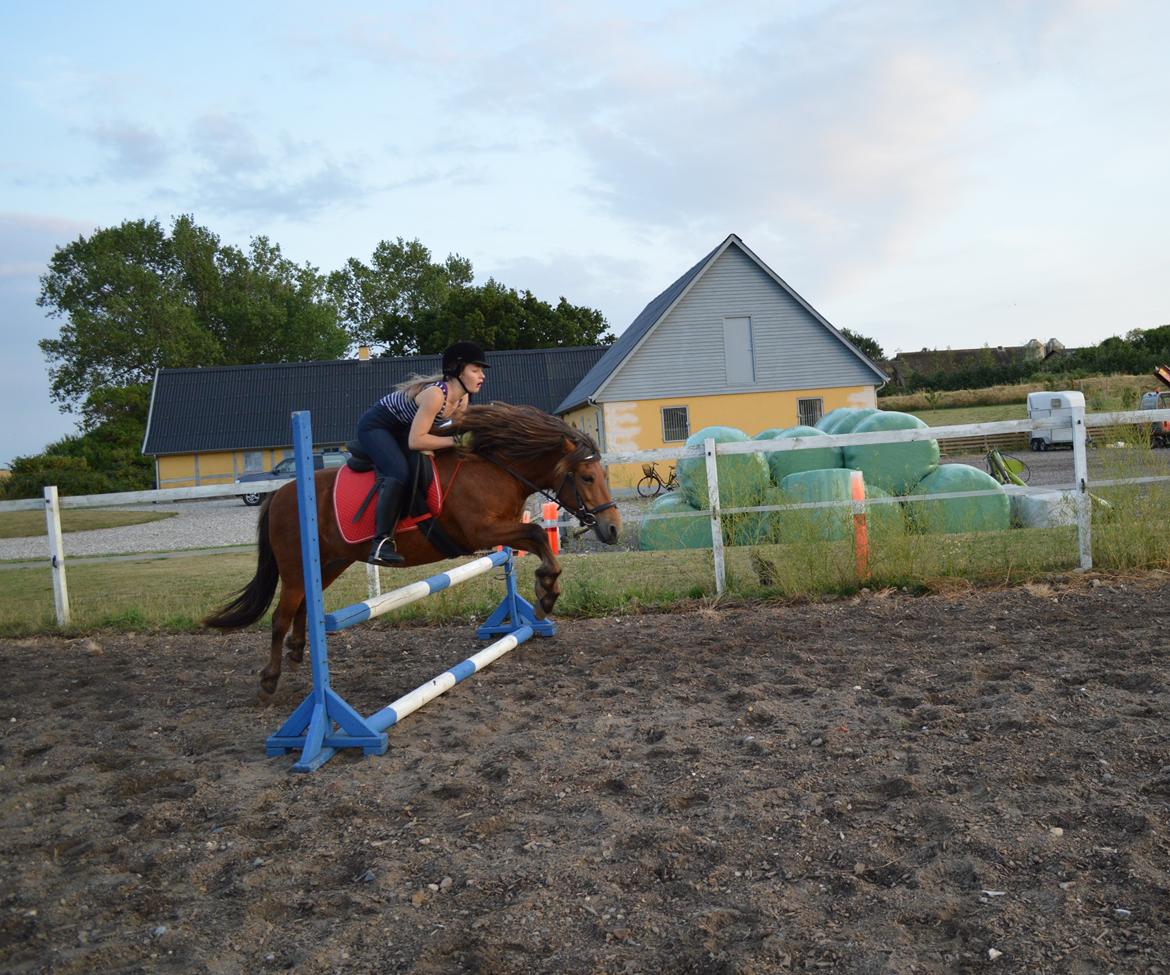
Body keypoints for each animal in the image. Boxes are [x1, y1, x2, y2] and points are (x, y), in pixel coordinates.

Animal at [203, 402, 622, 702]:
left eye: (604, 475)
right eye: (587, 477)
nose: (613, 528)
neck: (496, 472)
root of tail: (280, 493)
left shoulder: (502, 531)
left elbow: (536, 541)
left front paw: (546, 594)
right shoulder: (482, 532)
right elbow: (536, 533)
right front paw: (546, 594)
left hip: (329, 562)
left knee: (304, 605)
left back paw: (295, 652)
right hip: (294, 566)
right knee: (280, 616)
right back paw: (270, 680)